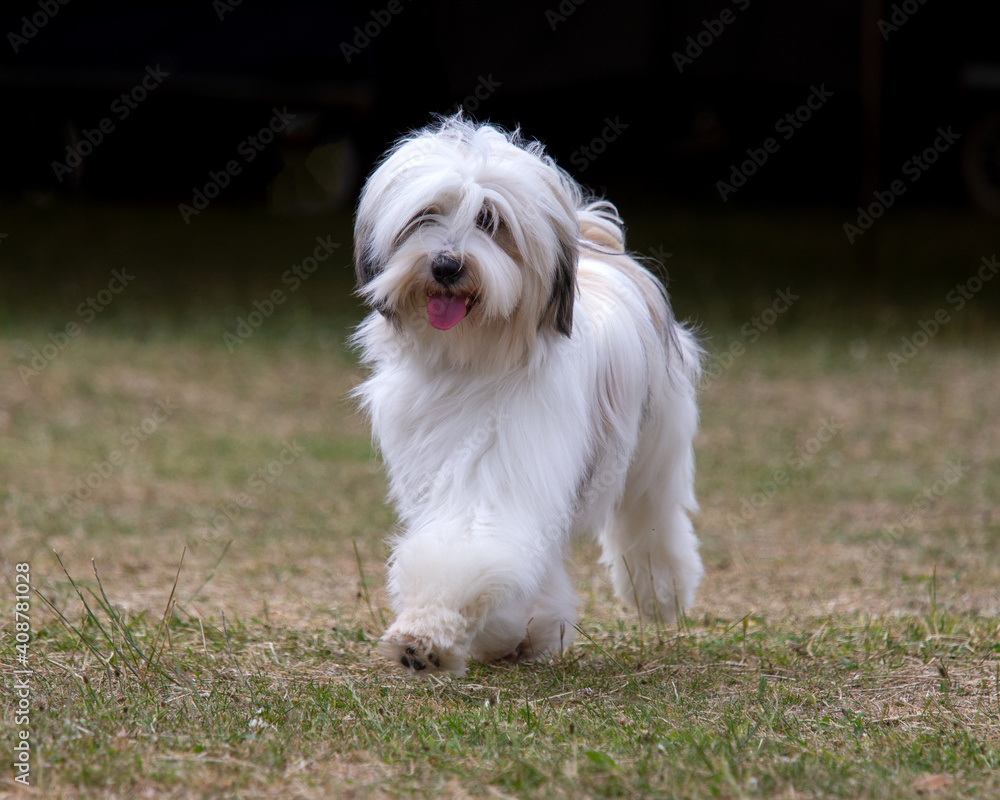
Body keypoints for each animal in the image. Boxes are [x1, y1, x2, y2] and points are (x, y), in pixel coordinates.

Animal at [352, 114, 704, 676]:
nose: (446, 265)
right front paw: (499, 634)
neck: (473, 359)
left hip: (657, 442)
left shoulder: (500, 469)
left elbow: (467, 546)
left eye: (490, 221)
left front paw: (427, 635)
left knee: (652, 515)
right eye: (426, 216)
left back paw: (660, 592)